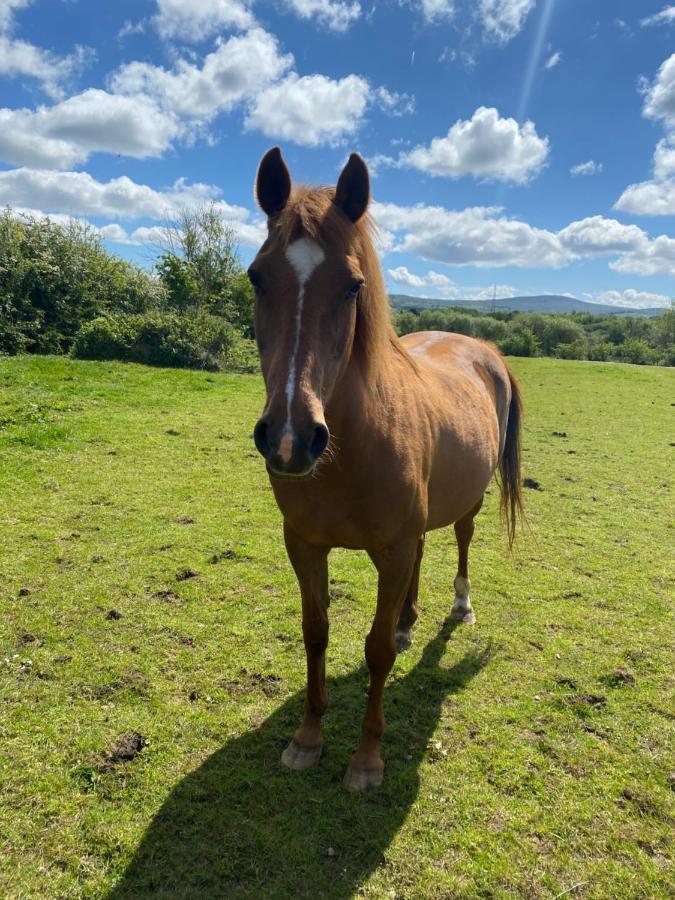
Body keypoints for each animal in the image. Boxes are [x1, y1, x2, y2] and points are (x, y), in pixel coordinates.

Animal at [251, 149, 524, 796]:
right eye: (256, 276)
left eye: (353, 285)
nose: (290, 438)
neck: (348, 450)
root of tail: (481, 348)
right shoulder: (304, 545)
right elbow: (316, 632)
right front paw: (307, 738)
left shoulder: (392, 549)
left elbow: (375, 653)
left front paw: (367, 759)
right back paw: (408, 619)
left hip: (467, 504)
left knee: (461, 540)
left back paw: (458, 606)